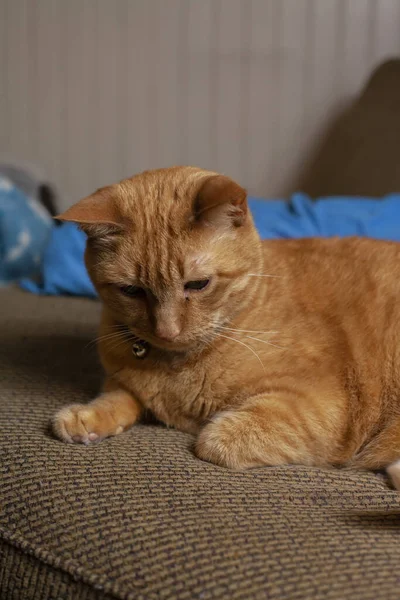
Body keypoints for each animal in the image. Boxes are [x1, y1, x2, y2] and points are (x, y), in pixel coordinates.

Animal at [53, 166, 400, 490]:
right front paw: (87, 416)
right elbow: (118, 396)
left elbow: (215, 439)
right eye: (132, 291)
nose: (167, 331)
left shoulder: (321, 407)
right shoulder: (123, 381)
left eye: (198, 284)